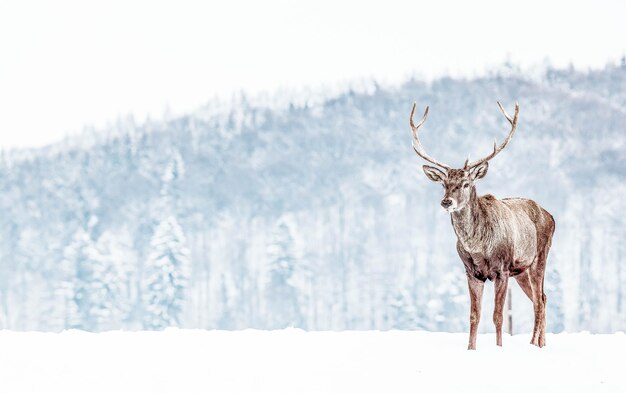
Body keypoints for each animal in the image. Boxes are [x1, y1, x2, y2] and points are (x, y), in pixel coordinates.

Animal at [410, 101, 552, 350]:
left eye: (466, 183)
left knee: (539, 300)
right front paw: (471, 349)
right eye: (444, 184)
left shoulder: (502, 269)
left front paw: (498, 348)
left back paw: (535, 344)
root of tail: (550, 216)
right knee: (541, 298)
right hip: (521, 271)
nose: (446, 202)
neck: (477, 247)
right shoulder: (471, 272)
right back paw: (540, 343)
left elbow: (498, 316)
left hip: (539, 258)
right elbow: (474, 316)